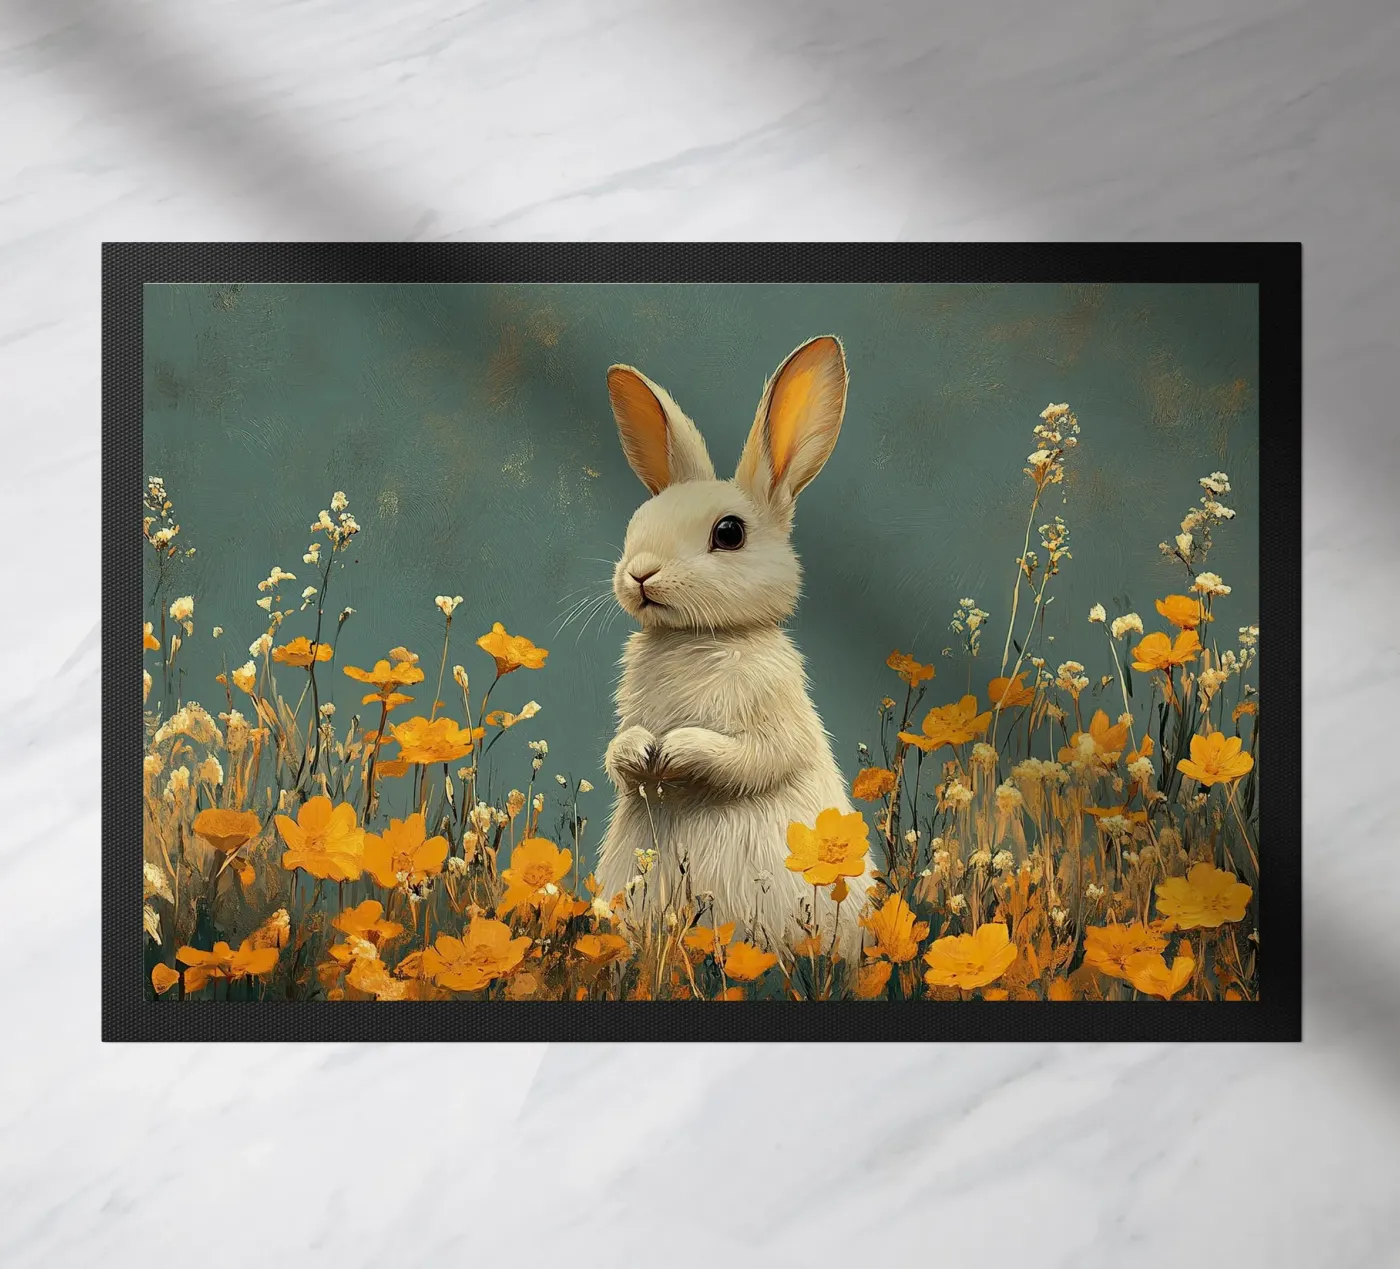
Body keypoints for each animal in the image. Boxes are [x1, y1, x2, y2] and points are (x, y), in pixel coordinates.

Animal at [593, 335, 875, 961]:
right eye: (636, 523)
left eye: (729, 533)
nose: (639, 574)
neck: (701, 637)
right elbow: (619, 754)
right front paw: (641, 752)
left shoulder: (775, 715)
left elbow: (755, 758)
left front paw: (675, 751)